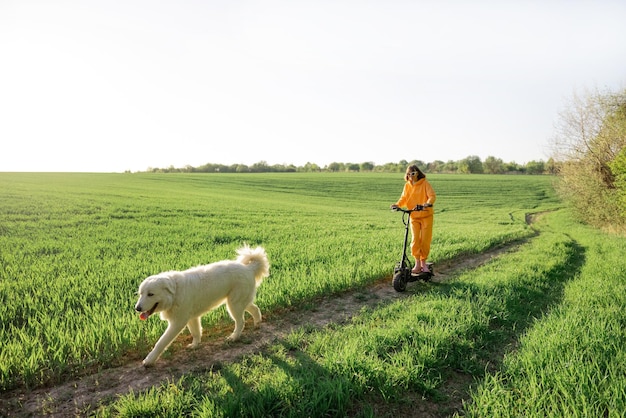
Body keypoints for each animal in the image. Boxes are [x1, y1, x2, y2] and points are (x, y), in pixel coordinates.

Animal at [134, 245, 268, 366]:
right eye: (141, 294)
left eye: (150, 294)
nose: (137, 308)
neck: (175, 292)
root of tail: (249, 268)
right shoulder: (192, 318)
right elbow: (196, 332)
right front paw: (195, 345)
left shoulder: (177, 323)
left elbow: (161, 342)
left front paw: (149, 360)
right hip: (239, 302)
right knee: (255, 308)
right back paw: (257, 323)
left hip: (234, 304)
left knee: (240, 322)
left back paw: (234, 337)